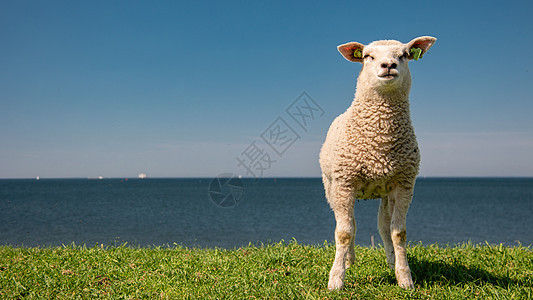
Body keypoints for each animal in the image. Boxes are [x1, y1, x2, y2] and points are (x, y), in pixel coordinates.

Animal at [318, 36, 434, 290]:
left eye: (404, 55)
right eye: (368, 56)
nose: (388, 65)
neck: (380, 140)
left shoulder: (404, 184)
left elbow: (398, 232)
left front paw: (404, 277)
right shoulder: (345, 183)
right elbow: (344, 232)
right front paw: (336, 279)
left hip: (385, 192)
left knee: (383, 225)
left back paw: (391, 261)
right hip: (332, 187)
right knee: (347, 223)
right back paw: (349, 260)